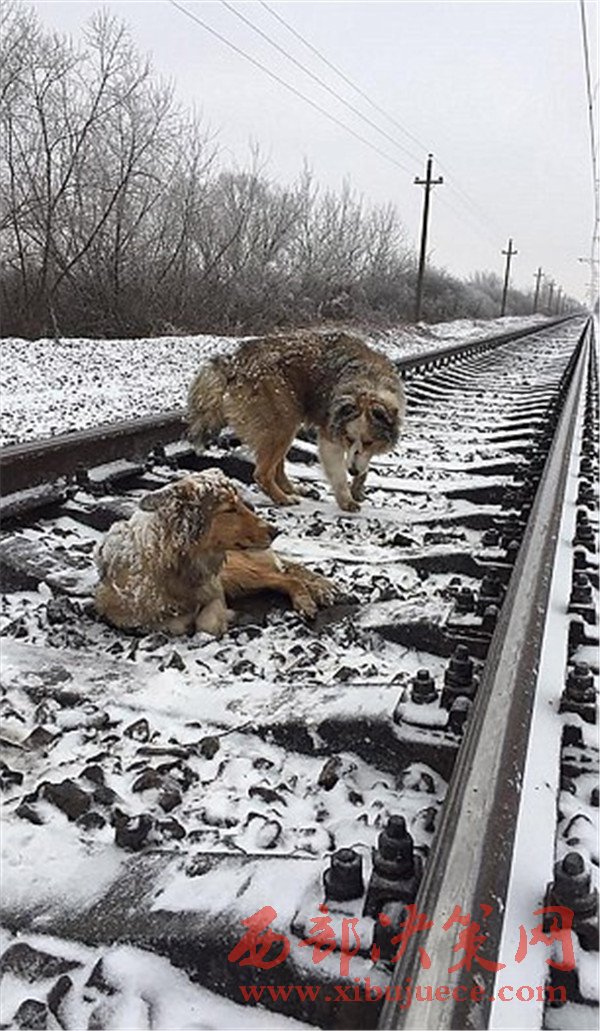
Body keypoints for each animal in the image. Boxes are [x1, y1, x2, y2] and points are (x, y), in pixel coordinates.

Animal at [94, 469, 335, 636]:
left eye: (240, 503)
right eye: (230, 509)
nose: (276, 531)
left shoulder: (216, 590)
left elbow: (206, 623)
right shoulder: (120, 613)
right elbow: (171, 624)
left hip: (237, 573)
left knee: (287, 577)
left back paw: (307, 600)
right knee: (284, 575)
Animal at [188, 330, 404, 512]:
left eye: (369, 442)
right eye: (348, 439)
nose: (352, 470)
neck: (369, 384)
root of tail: (234, 362)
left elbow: (363, 463)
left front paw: (358, 487)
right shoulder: (330, 435)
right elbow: (339, 473)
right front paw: (346, 499)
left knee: (278, 469)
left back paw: (295, 490)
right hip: (283, 422)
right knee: (262, 473)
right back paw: (282, 498)